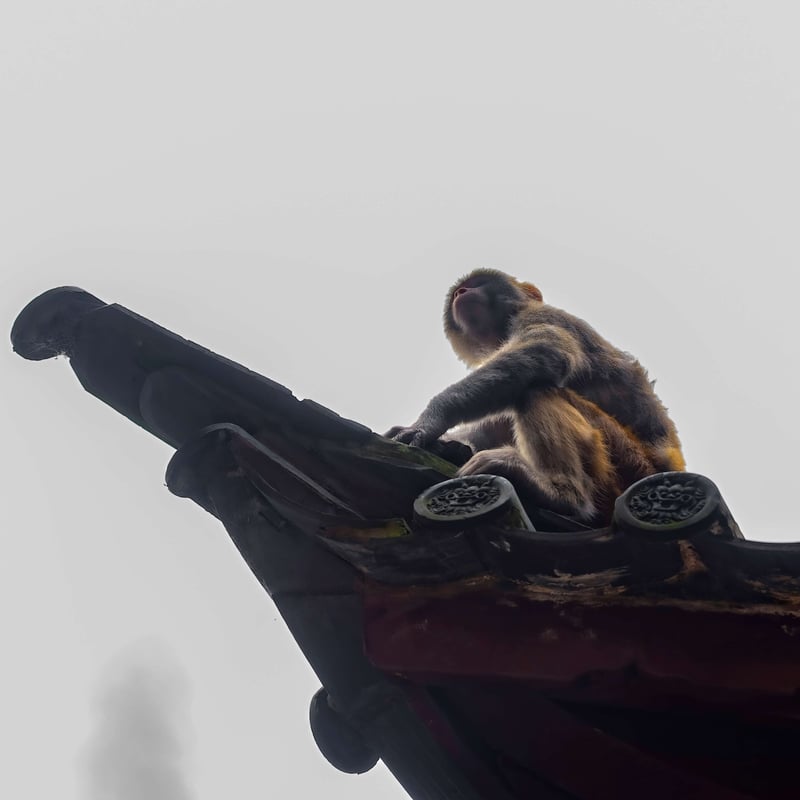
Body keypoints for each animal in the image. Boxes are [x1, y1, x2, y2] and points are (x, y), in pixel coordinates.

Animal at [387, 268, 684, 524]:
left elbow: (546, 353)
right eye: (461, 288)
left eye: (477, 283)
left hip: (626, 464)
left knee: (536, 390)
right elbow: (494, 422)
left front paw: (430, 421)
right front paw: (448, 443)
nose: (462, 292)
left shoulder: (542, 315)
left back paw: (563, 493)